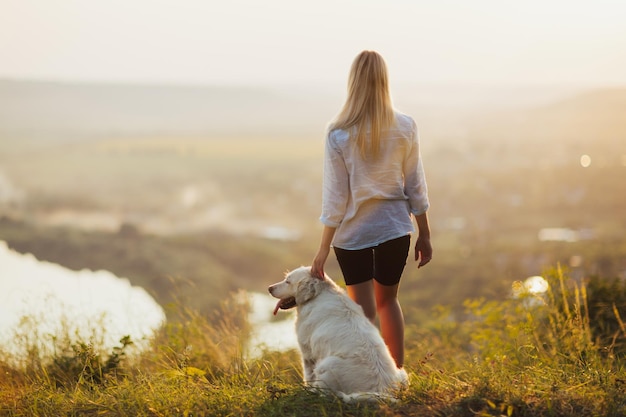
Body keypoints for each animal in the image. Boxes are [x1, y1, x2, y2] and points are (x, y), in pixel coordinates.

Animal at [266, 266, 408, 400]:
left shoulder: (307, 351)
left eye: (288, 281)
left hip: (326, 365)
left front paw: (306, 390)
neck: (318, 295)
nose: (269, 288)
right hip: (402, 373)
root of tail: (383, 390)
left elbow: (308, 375)